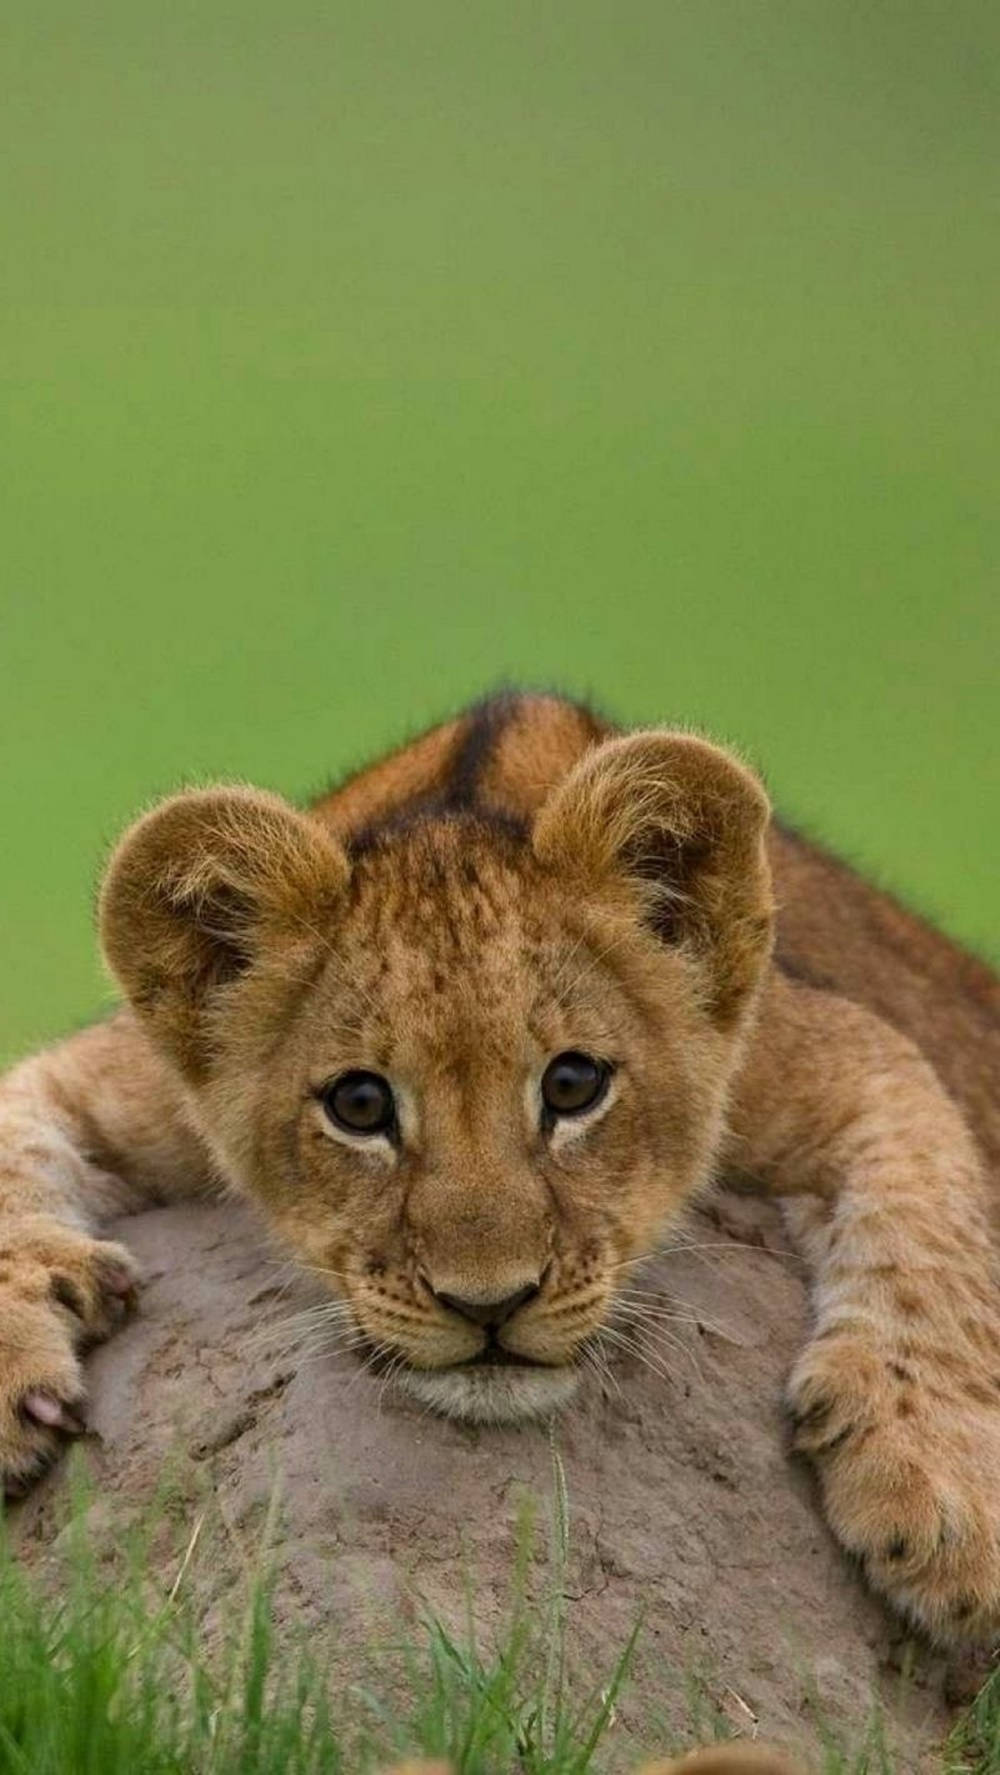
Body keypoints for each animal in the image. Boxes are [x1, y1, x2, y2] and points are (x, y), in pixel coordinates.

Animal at [1, 692, 998, 1646]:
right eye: (358, 1105)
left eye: (573, 1084)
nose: (489, 1305)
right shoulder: (120, 1075)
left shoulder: (852, 1053)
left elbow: (935, 1241)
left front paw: (941, 1500)